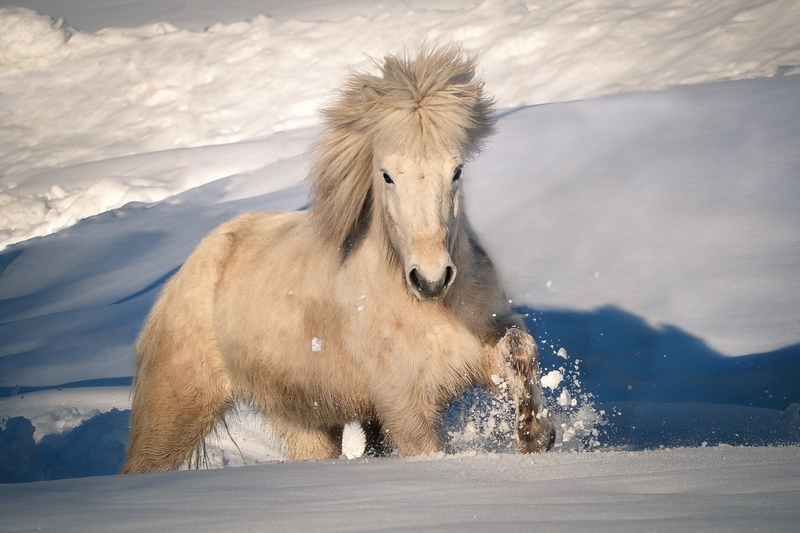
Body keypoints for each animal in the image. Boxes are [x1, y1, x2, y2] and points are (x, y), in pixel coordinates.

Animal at [121, 45, 555, 473]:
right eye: (387, 175)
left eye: (457, 170)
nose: (431, 279)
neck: (430, 310)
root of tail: (190, 268)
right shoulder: (403, 404)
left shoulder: (480, 350)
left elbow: (520, 347)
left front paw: (536, 435)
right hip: (176, 410)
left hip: (303, 419)